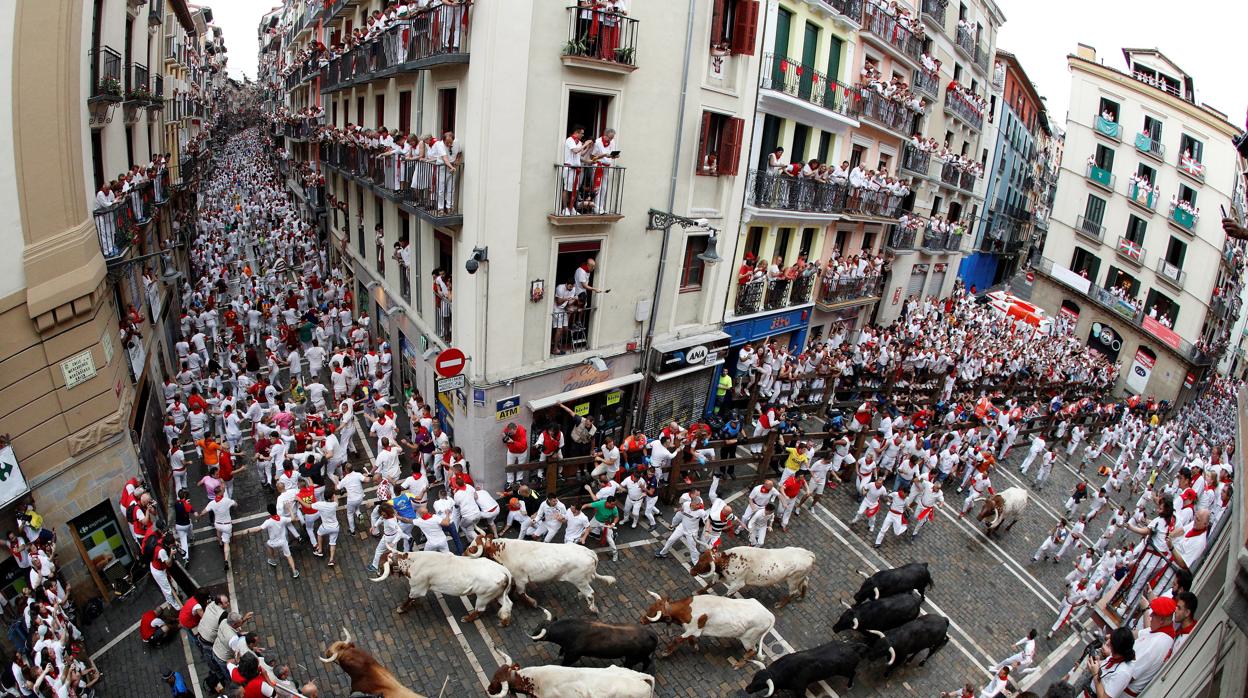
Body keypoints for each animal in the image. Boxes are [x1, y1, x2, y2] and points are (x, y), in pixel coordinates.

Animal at [369, 551, 511, 629]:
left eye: (381, 565)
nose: (377, 573)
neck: (412, 562)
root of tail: (503, 571)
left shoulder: (418, 588)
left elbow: (410, 597)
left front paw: (401, 608)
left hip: (483, 596)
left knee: (480, 610)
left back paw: (467, 618)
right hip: (497, 594)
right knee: (508, 605)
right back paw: (504, 622)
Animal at [461, 534, 616, 611]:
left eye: (472, 548)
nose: (462, 554)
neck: (505, 551)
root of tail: (589, 552)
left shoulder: (520, 579)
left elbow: (521, 593)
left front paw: (532, 603)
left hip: (580, 581)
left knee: (590, 593)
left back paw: (592, 608)